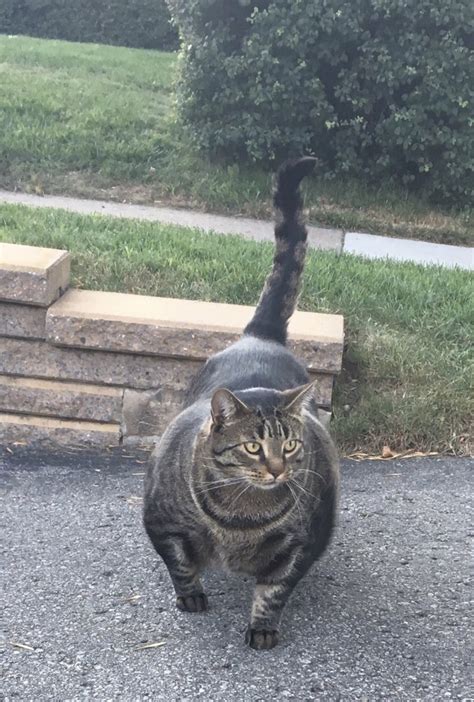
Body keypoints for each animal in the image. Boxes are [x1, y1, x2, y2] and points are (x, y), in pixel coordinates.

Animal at [143, 157, 338, 652]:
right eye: (253, 447)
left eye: (290, 446)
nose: (277, 470)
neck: (240, 520)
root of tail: (261, 335)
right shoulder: (161, 523)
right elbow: (180, 565)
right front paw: (191, 596)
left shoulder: (302, 545)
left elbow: (275, 588)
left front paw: (263, 626)